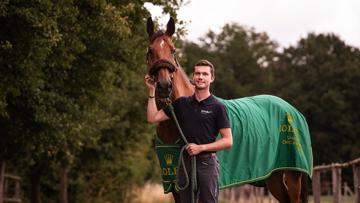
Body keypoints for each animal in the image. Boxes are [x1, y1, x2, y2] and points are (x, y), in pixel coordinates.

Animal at [145, 16, 310, 202]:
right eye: (150, 51)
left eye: (173, 50)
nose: (164, 85)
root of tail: (294, 111)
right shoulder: (176, 185)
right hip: (273, 176)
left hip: (293, 175)